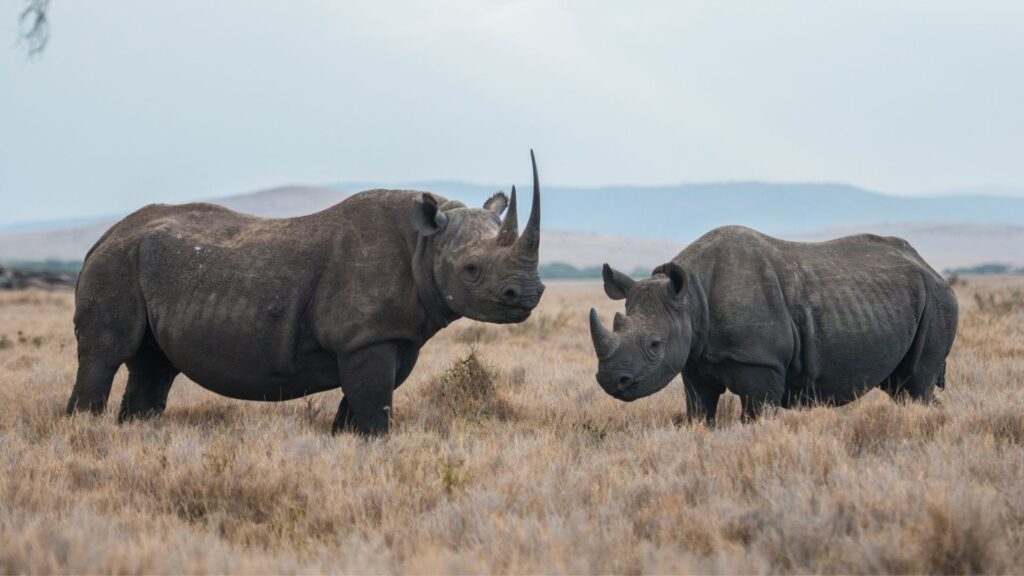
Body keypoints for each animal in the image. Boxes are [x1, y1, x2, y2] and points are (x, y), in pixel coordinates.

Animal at [66, 152, 545, 434]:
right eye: (471, 269)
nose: (528, 294)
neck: (425, 244)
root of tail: (102, 238)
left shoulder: (389, 336)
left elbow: (359, 409)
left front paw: (347, 444)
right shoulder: (364, 338)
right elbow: (374, 410)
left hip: (139, 261)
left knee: (154, 363)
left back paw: (133, 434)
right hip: (117, 262)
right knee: (105, 355)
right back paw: (84, 431)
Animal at [589, 226, 958, 422]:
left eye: (655, 344)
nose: (610, 380)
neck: (692, 299)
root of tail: (931, 269)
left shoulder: (761, 362)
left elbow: (755, 415)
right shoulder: (693, 359)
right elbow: (700, 411)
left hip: (938, 300)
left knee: (916, 385)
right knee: (903, 387)